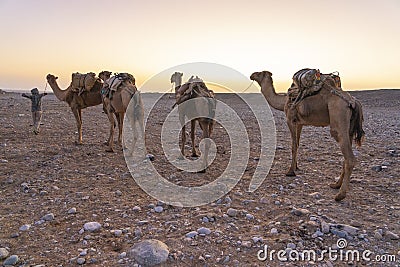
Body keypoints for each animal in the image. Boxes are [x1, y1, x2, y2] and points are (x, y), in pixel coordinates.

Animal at [252, 70, 364, 201]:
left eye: (259, 73)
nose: (251, 75)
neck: (284, 100)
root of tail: (353, 102)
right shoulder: (300, 123)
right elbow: (298, 144)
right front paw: (296, 167)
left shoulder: (290, 120)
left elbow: (293, 146)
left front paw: (290, 171)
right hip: (349, 128)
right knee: (346, 155)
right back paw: (336, 184)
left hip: (338, 118)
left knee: (349, 156)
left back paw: (340, 195)